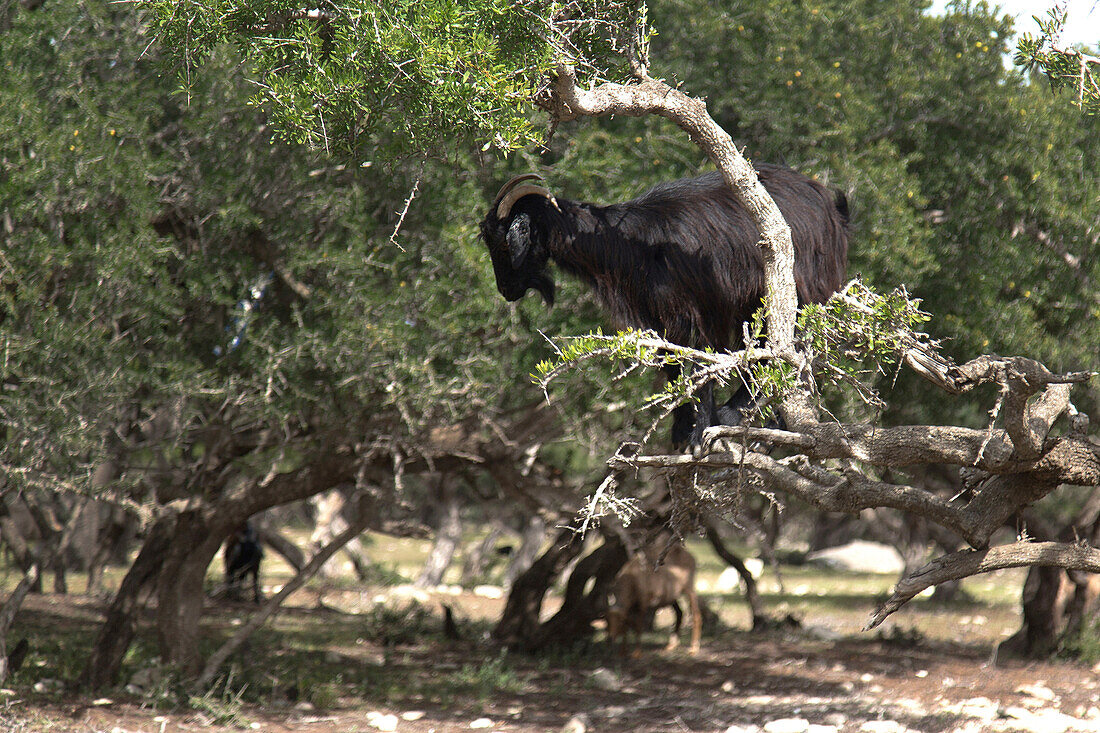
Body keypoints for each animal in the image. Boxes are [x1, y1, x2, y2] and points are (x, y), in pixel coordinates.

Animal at [479, 163, 849, 444]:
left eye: (504, 242)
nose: (506, 290)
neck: (631, 243)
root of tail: (829, 203)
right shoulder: (657, 317)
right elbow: (671, 368)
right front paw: (681, 430)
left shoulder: (700, 309)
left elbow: (702, 366)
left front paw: (700, 433)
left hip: (797, 289)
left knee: (792, 346)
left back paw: (755, 419)